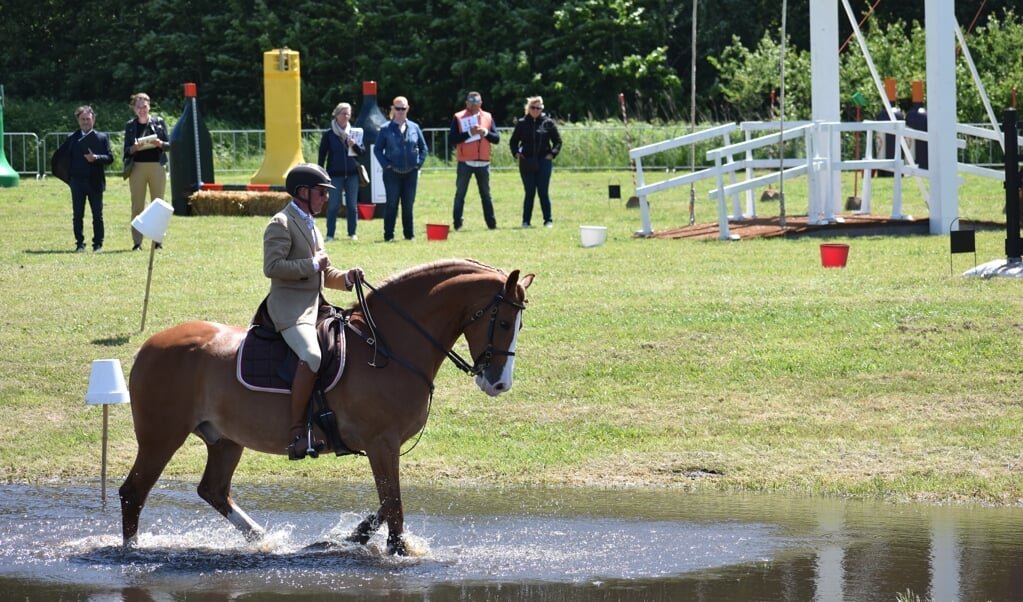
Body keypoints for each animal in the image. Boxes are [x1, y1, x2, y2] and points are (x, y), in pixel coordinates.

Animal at [119, 259, 536, 556]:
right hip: (161, 437)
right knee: (133, 491)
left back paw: (263, 539)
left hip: (224, 440)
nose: (498, 384)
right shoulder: (381, 444)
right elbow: (394, 504)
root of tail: (151, 345)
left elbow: (387, 502)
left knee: (213, 490)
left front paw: (354, 536)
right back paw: (131, 551)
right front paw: (395, 549)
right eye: (502, 322)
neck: (388, 346)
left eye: (518, 325)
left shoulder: (386, 447)